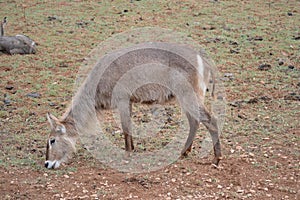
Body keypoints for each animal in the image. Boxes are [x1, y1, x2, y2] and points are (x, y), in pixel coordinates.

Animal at [45, 41, 223, 169]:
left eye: (52, 140)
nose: (47, 164)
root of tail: (203, 61)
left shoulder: (122, 100)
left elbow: (125, 128)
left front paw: (127, 154)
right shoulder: (128, 102)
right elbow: (129, 127)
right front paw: (133, 149)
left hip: (188, 96)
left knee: (210, 120)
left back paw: (216, 159)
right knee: (195, 122)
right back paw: (184, 152)